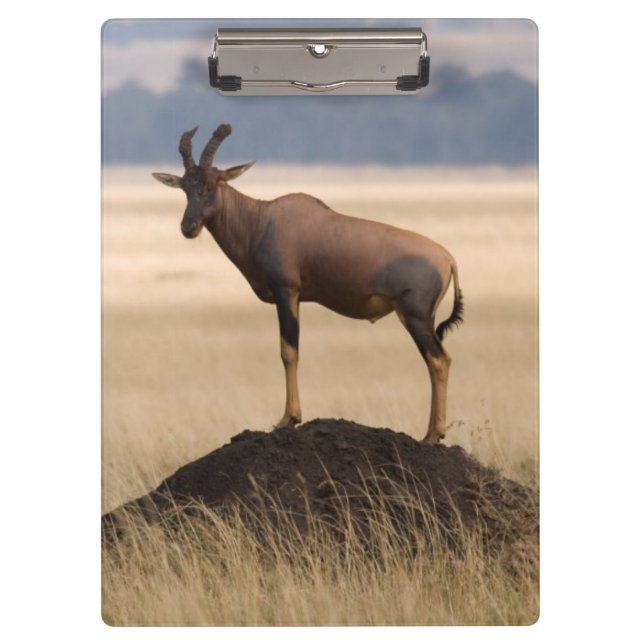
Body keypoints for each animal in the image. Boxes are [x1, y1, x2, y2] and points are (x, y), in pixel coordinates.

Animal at [153, 124, 463, 444]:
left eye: (213, 184)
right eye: (185, 187)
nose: (188, 227)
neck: (262, 220)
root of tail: (447, 257)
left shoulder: (286, 291)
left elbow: (288, 351)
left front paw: (288, 418)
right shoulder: (297, 298)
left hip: (415, 316)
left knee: (439, 360)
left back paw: (432, 435)